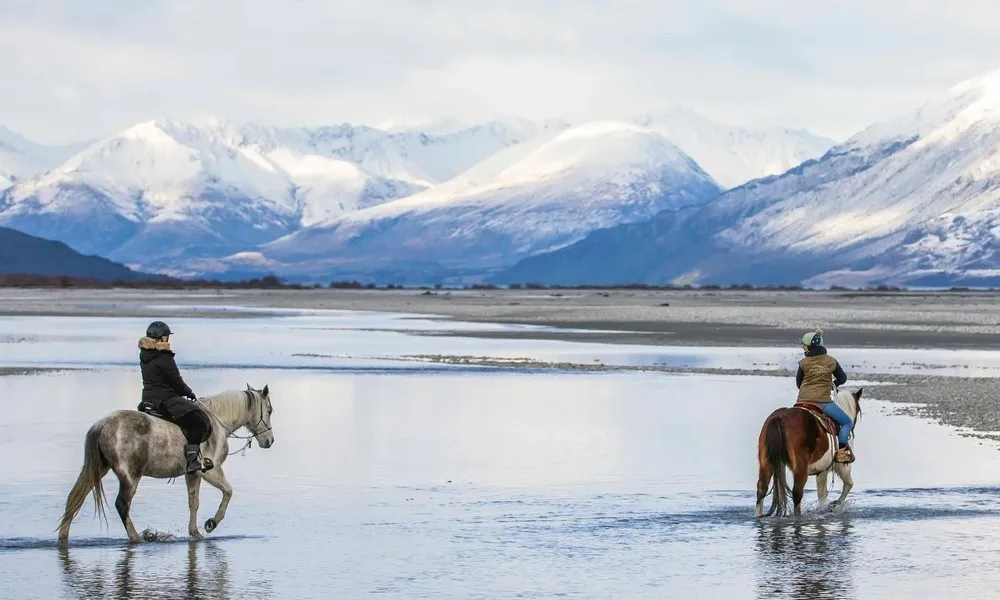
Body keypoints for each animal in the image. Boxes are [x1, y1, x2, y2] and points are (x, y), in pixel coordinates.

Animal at [57, 384, 274, 544]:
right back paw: (137, 537)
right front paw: (211, 523)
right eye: (270, 410)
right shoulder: (210, 472)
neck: (217, 422)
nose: (269, 441)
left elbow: (193, 503)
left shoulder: (193, 473)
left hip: (100, 468)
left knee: (76, 497)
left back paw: (63, 535)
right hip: (130, 476)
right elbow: (228, 492)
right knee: (122, 504)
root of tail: (101, 424)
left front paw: (195, 533)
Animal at [754, 387, 862, 518]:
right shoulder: (840, 466)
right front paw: (834, 504)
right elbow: (848, 485)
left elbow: (822, 494)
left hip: (766, 463)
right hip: (801, 469)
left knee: (761, 489)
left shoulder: (822, 471)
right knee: (797, 493)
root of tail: (779, 418)